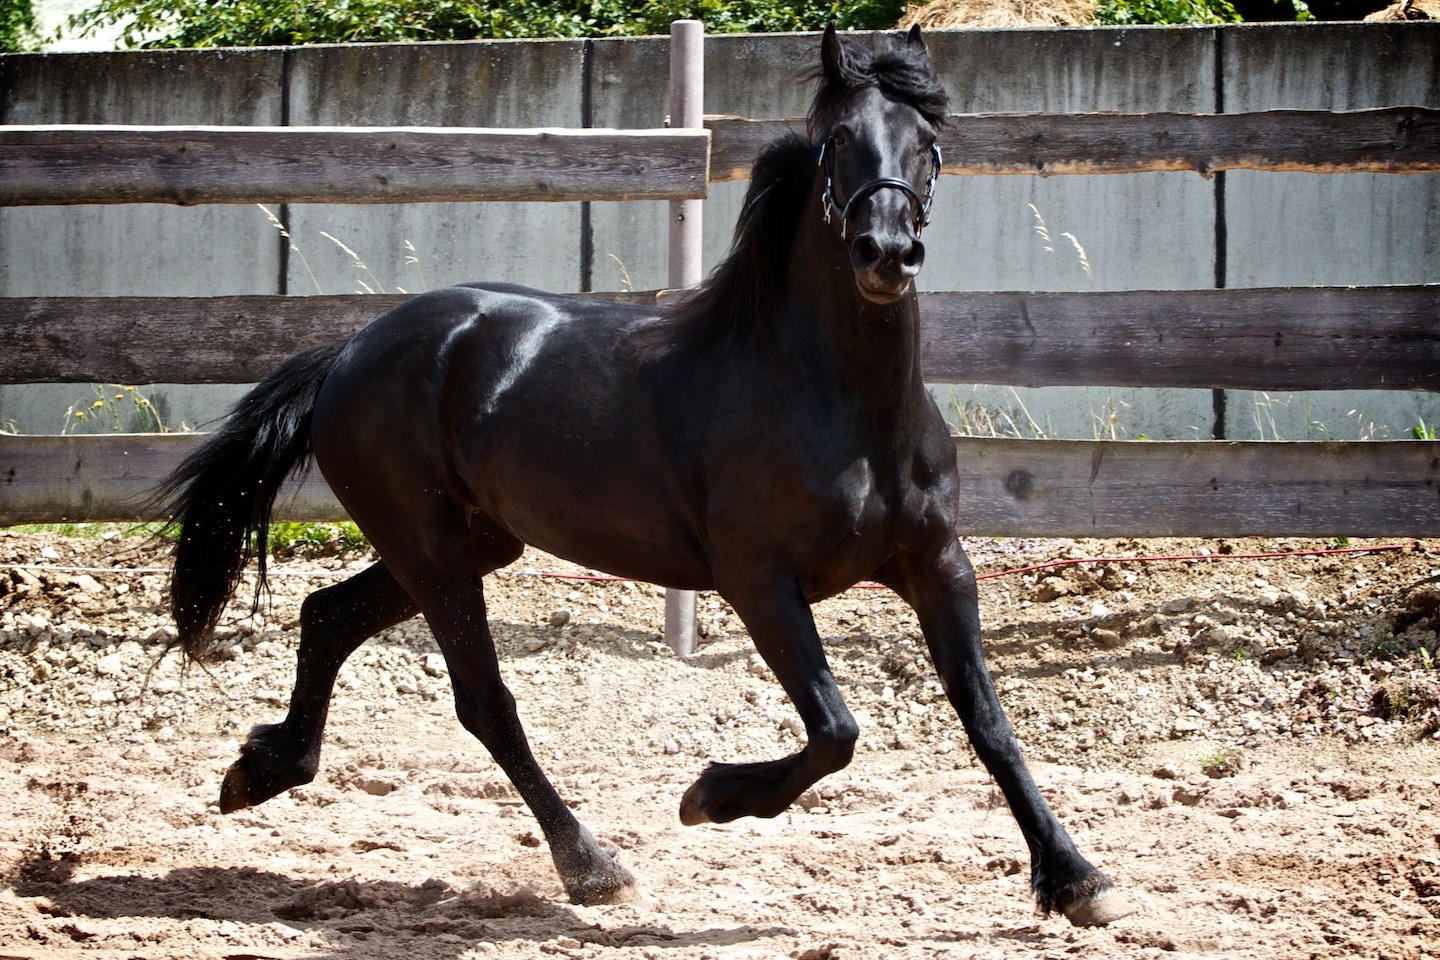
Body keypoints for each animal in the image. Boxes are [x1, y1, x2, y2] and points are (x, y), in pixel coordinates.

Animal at [154, 28, 1123, 932]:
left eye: (926, 139)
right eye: (839, 139)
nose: (886, 252)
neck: (843, 404)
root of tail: (352, 351)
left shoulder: (938, 566)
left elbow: (989, 723)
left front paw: (1077, 881)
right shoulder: (759, 582)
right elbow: (835, 731)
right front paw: (711, 797)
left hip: (466, 545)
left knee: (327, 616)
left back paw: (261, 770)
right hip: (432, 554)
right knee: (484, 702)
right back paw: (592, 865)